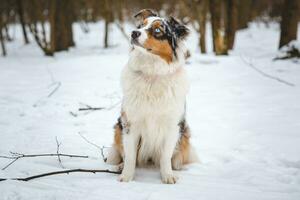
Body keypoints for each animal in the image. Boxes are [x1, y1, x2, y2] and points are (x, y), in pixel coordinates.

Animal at [105, 9, 197, 184]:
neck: (152, 74)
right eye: (140, 25)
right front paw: (126, 177)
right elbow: (130, 156)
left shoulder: (172, 125)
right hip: (118, 128)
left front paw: (167, 176)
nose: (134, 33)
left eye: (157, 30)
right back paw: (120, 166)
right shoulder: (130, 123)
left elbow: (166, 156)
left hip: (184, 134)